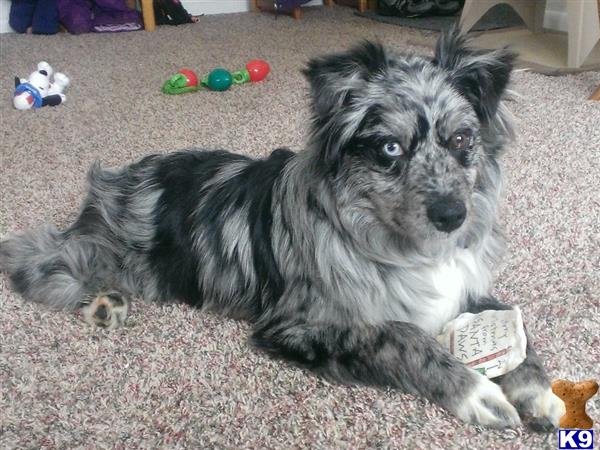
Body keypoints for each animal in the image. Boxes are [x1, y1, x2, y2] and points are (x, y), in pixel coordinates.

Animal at [0, 29, 564, 430]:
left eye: (462, 139)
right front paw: (478, 393)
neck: (398, 244)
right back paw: (102, 302)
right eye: (390, 148)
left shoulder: (465, 288)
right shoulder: (301, 325)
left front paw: (537, 391)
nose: (452, 215)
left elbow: (513, 322)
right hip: (103, 254)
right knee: (36, 259)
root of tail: (116, 178)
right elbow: (403, 337)